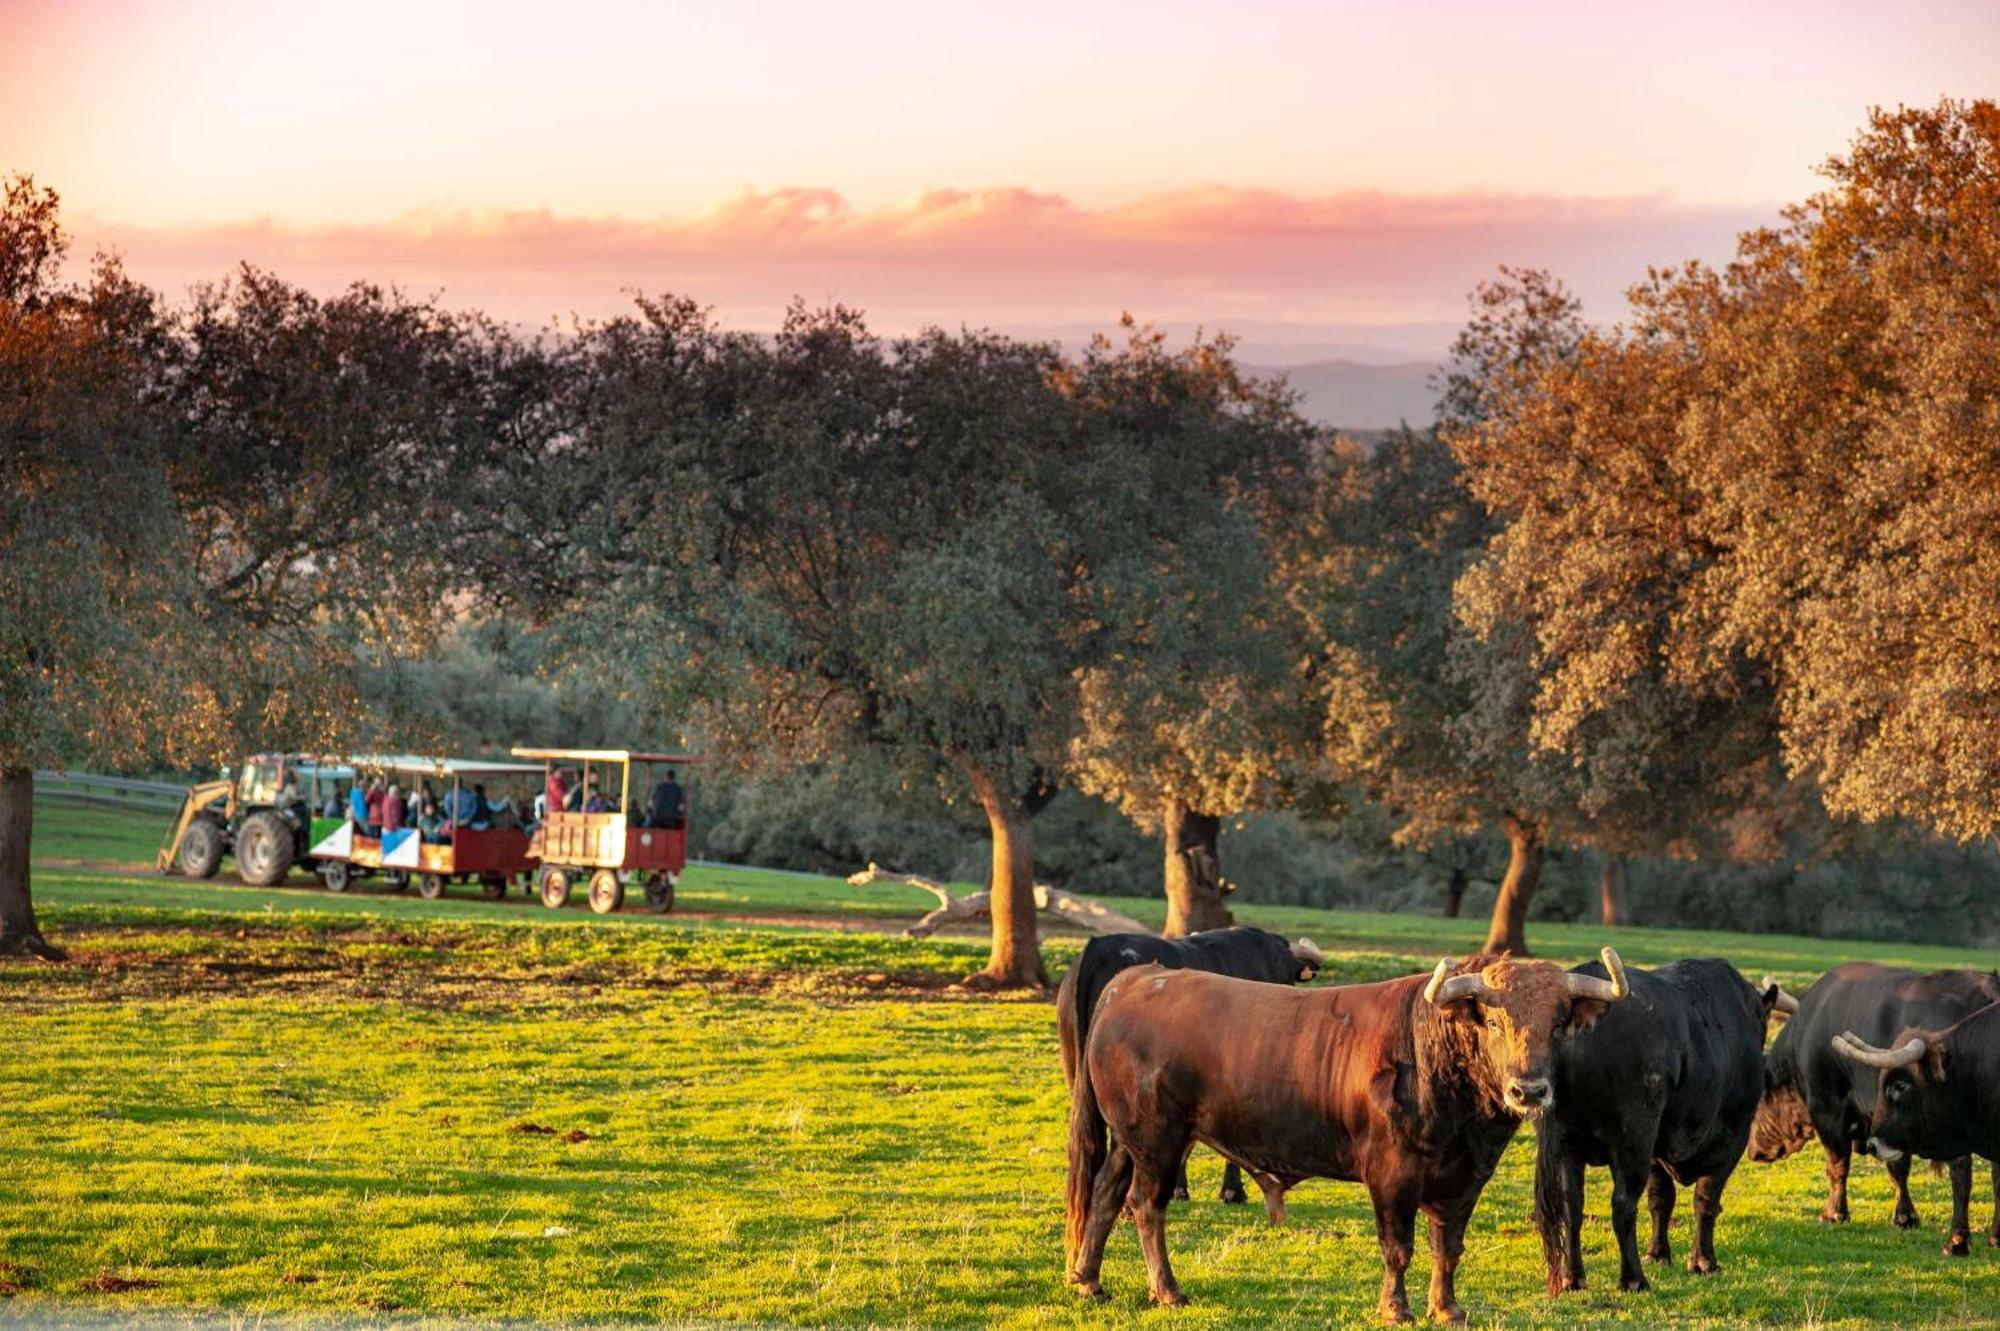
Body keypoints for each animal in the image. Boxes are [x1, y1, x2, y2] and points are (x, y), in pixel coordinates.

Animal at [1064, 943, 1624, 1319]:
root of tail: (1135, 980)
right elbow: (1398, 1247)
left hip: (1129, 1141)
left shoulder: (1464, 1180)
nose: (1529, 1091)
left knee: (1106, 1192)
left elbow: (1448, 1247)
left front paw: (1447, 1309)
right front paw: (1396, 1308)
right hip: (1157, 1141)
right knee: (1145, 1205)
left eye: (1558, 1023)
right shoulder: (1392, 1177)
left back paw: (1088, 1280)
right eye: (1490, 1022)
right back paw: (1167, 1290)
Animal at [1536, 959, 1776, 1287]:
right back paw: (1634, 1279)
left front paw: (1659, 1253)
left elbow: (1661, 1199)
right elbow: (1706, 1200)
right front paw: (1704, 1261)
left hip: (1567, 1144)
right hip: (1632, 1139)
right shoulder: (1731, 1139)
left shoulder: (1654, 1150)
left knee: (1571, 1206)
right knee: (1623, 1204)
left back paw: (1573, 1277)